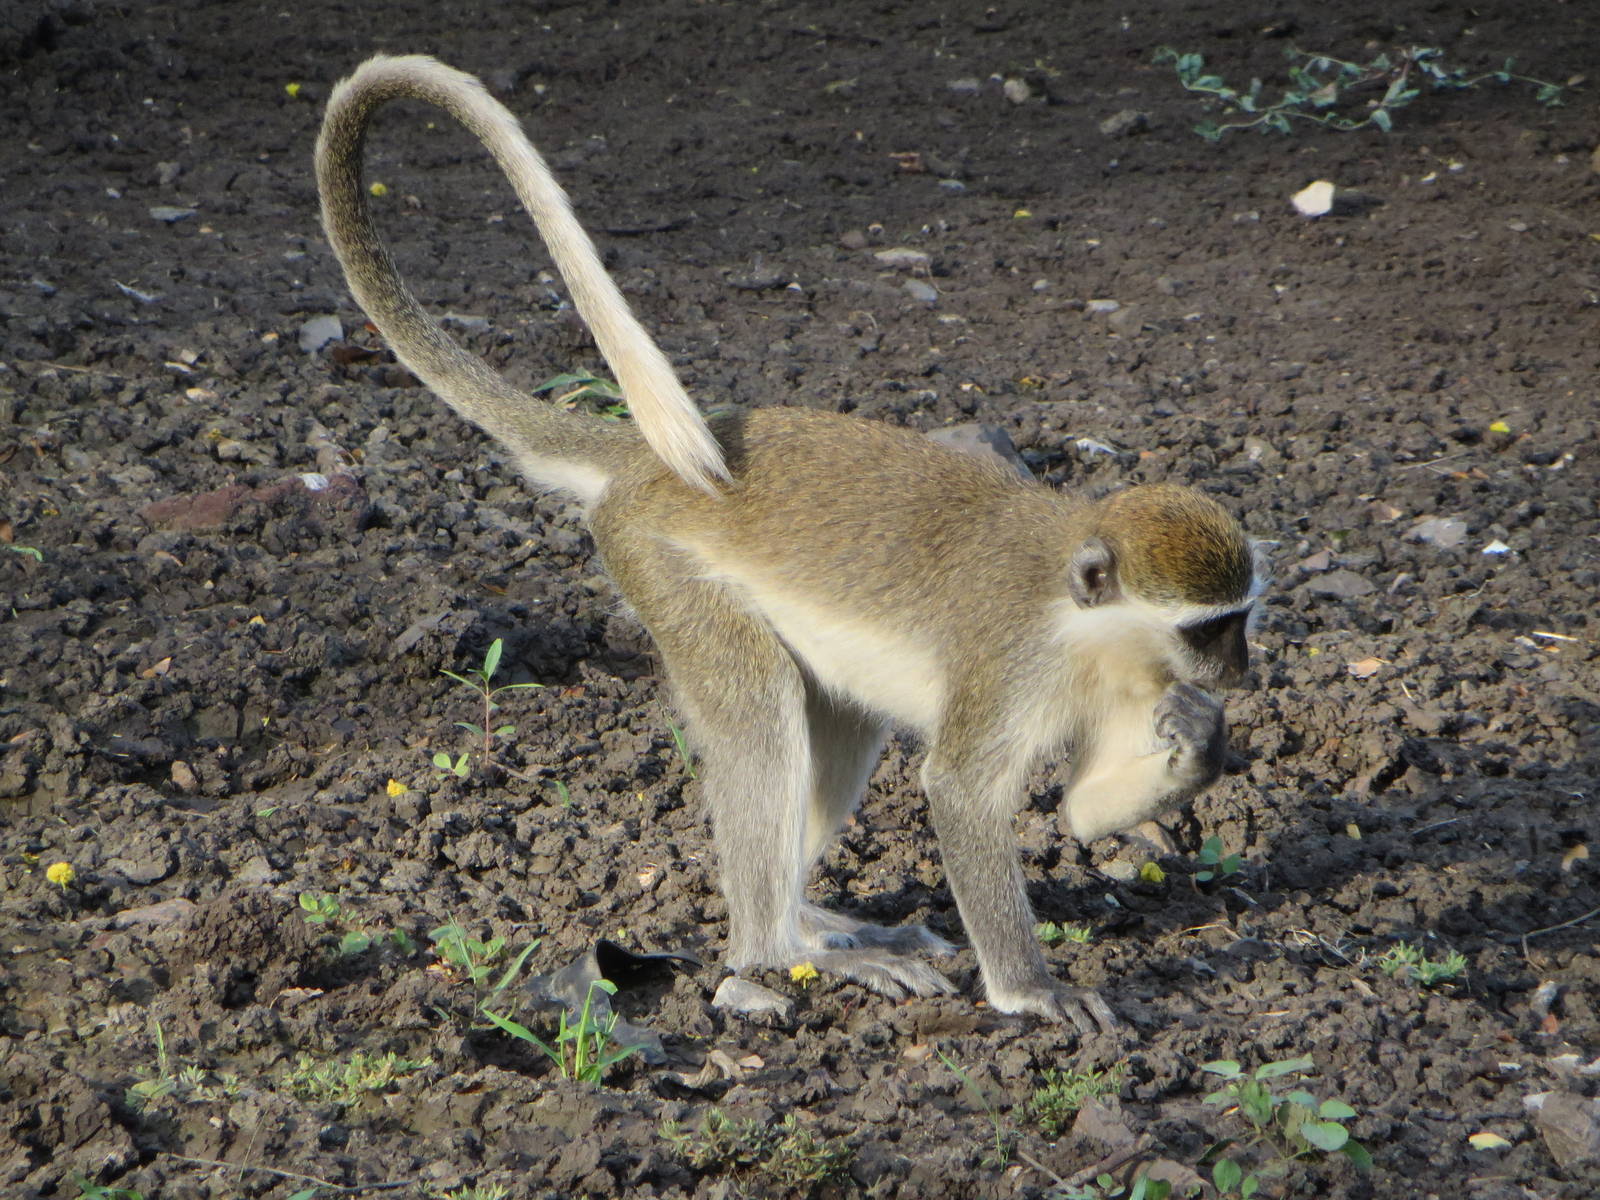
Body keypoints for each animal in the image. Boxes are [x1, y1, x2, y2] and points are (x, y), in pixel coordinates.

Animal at [315, 55, 1260, 1031]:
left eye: (1238, 619)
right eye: (1208, 628)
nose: (1240, 669)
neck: (1083, 624)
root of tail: (641, 470)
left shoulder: (1126, 684)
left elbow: (1079, 811)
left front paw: (1201, 736)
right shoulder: (1014, 663)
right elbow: (960, 796)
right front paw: (1031, 990)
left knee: (835, 721)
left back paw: (808, 920)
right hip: (662, 569)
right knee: (761, 714)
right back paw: (773, 948)